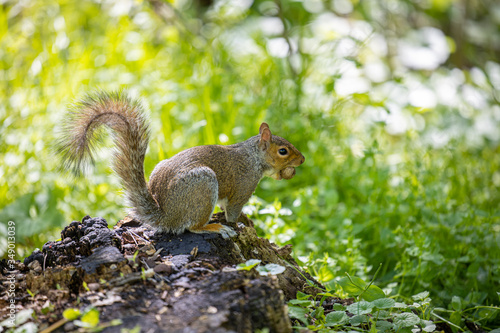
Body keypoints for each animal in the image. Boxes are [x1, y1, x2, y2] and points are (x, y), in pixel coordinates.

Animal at [55, 89, 304, 237]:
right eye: (283, 151)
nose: (302, 159)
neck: (253, 157)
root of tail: (166, 215)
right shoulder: (243, 186)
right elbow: (232, 212)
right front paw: (239, 225)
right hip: (203, 186)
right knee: (192, 227)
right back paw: (214, 227)